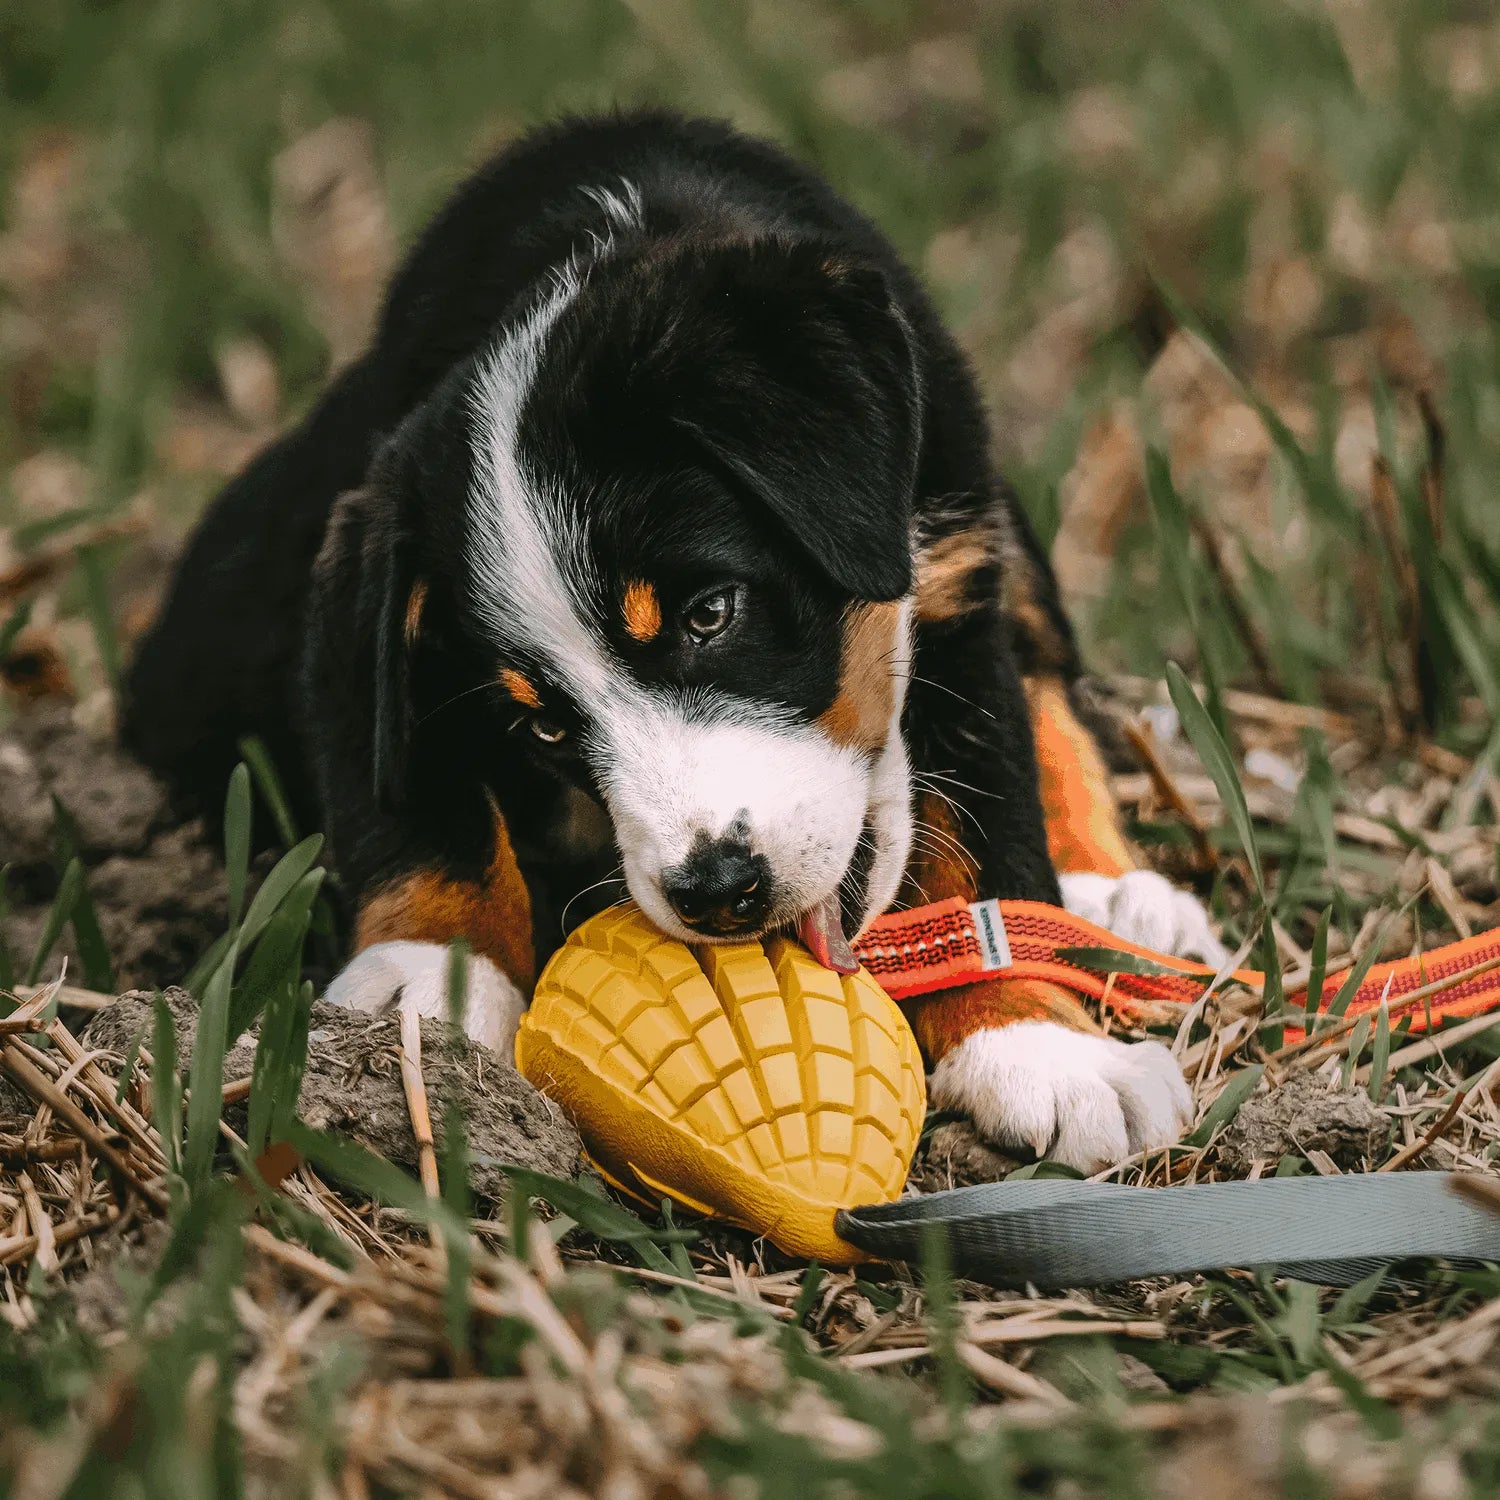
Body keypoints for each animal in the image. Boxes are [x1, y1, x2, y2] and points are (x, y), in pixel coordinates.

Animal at [126, 114, 1230, 1170]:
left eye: (712, 614)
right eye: (544, 730)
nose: (719, 891)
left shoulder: (955, 583)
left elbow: (985, 833)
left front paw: (1041, 1047)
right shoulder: (361, 610)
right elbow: (413, 793)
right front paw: (421, 989)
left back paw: (1117, 890)